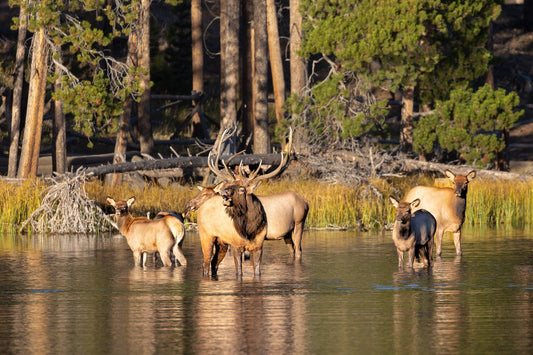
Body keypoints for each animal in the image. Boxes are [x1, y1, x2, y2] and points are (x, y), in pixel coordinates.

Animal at [196, 129, 296, 280]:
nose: (224, 193)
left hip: (222, 242)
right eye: (229, 185)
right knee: (206, 264)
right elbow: (239, 273)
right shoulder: (236, 245)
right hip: (205, 235)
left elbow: (257, 272)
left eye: (242, 189)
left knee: (214, 264)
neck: (249, 230)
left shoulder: (259, 245)